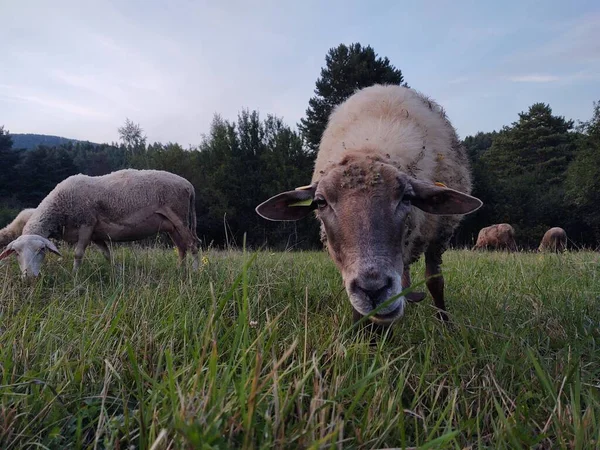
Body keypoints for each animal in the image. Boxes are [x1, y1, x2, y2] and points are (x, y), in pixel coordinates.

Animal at [0, 169, 202, 276]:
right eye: (16, 253)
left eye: (41, 250)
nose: (29, 277)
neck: (60, 207)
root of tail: (189, 185)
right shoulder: (96, 233)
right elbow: (107, 254)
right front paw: (118, 272)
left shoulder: (86, 224)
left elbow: (78, 254)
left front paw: (74, 276)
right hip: (172, 225)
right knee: (181, 248)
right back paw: (179, 271)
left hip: (180, 217)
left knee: (193, 244)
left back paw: (195, 272)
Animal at [255, 84, 480, 324]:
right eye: (321, 202)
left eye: (406, 198)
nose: (374, 289)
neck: (368, 148)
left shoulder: (439, 235)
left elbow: (435, 281)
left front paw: (446, 325)